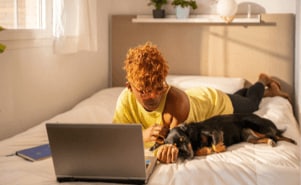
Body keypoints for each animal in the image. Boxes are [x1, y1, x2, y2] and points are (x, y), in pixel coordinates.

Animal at [150, 113, 296, 160]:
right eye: (175, 147)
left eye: (183, 139)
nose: (186, 154)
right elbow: (201, 150)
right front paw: (204, 150)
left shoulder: (215, 131)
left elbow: (215, 145)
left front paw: (221, 147)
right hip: (250, 138)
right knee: (269, 138)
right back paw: (270, 142)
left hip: (256, 125)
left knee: (276, 135)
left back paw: (291, 141)